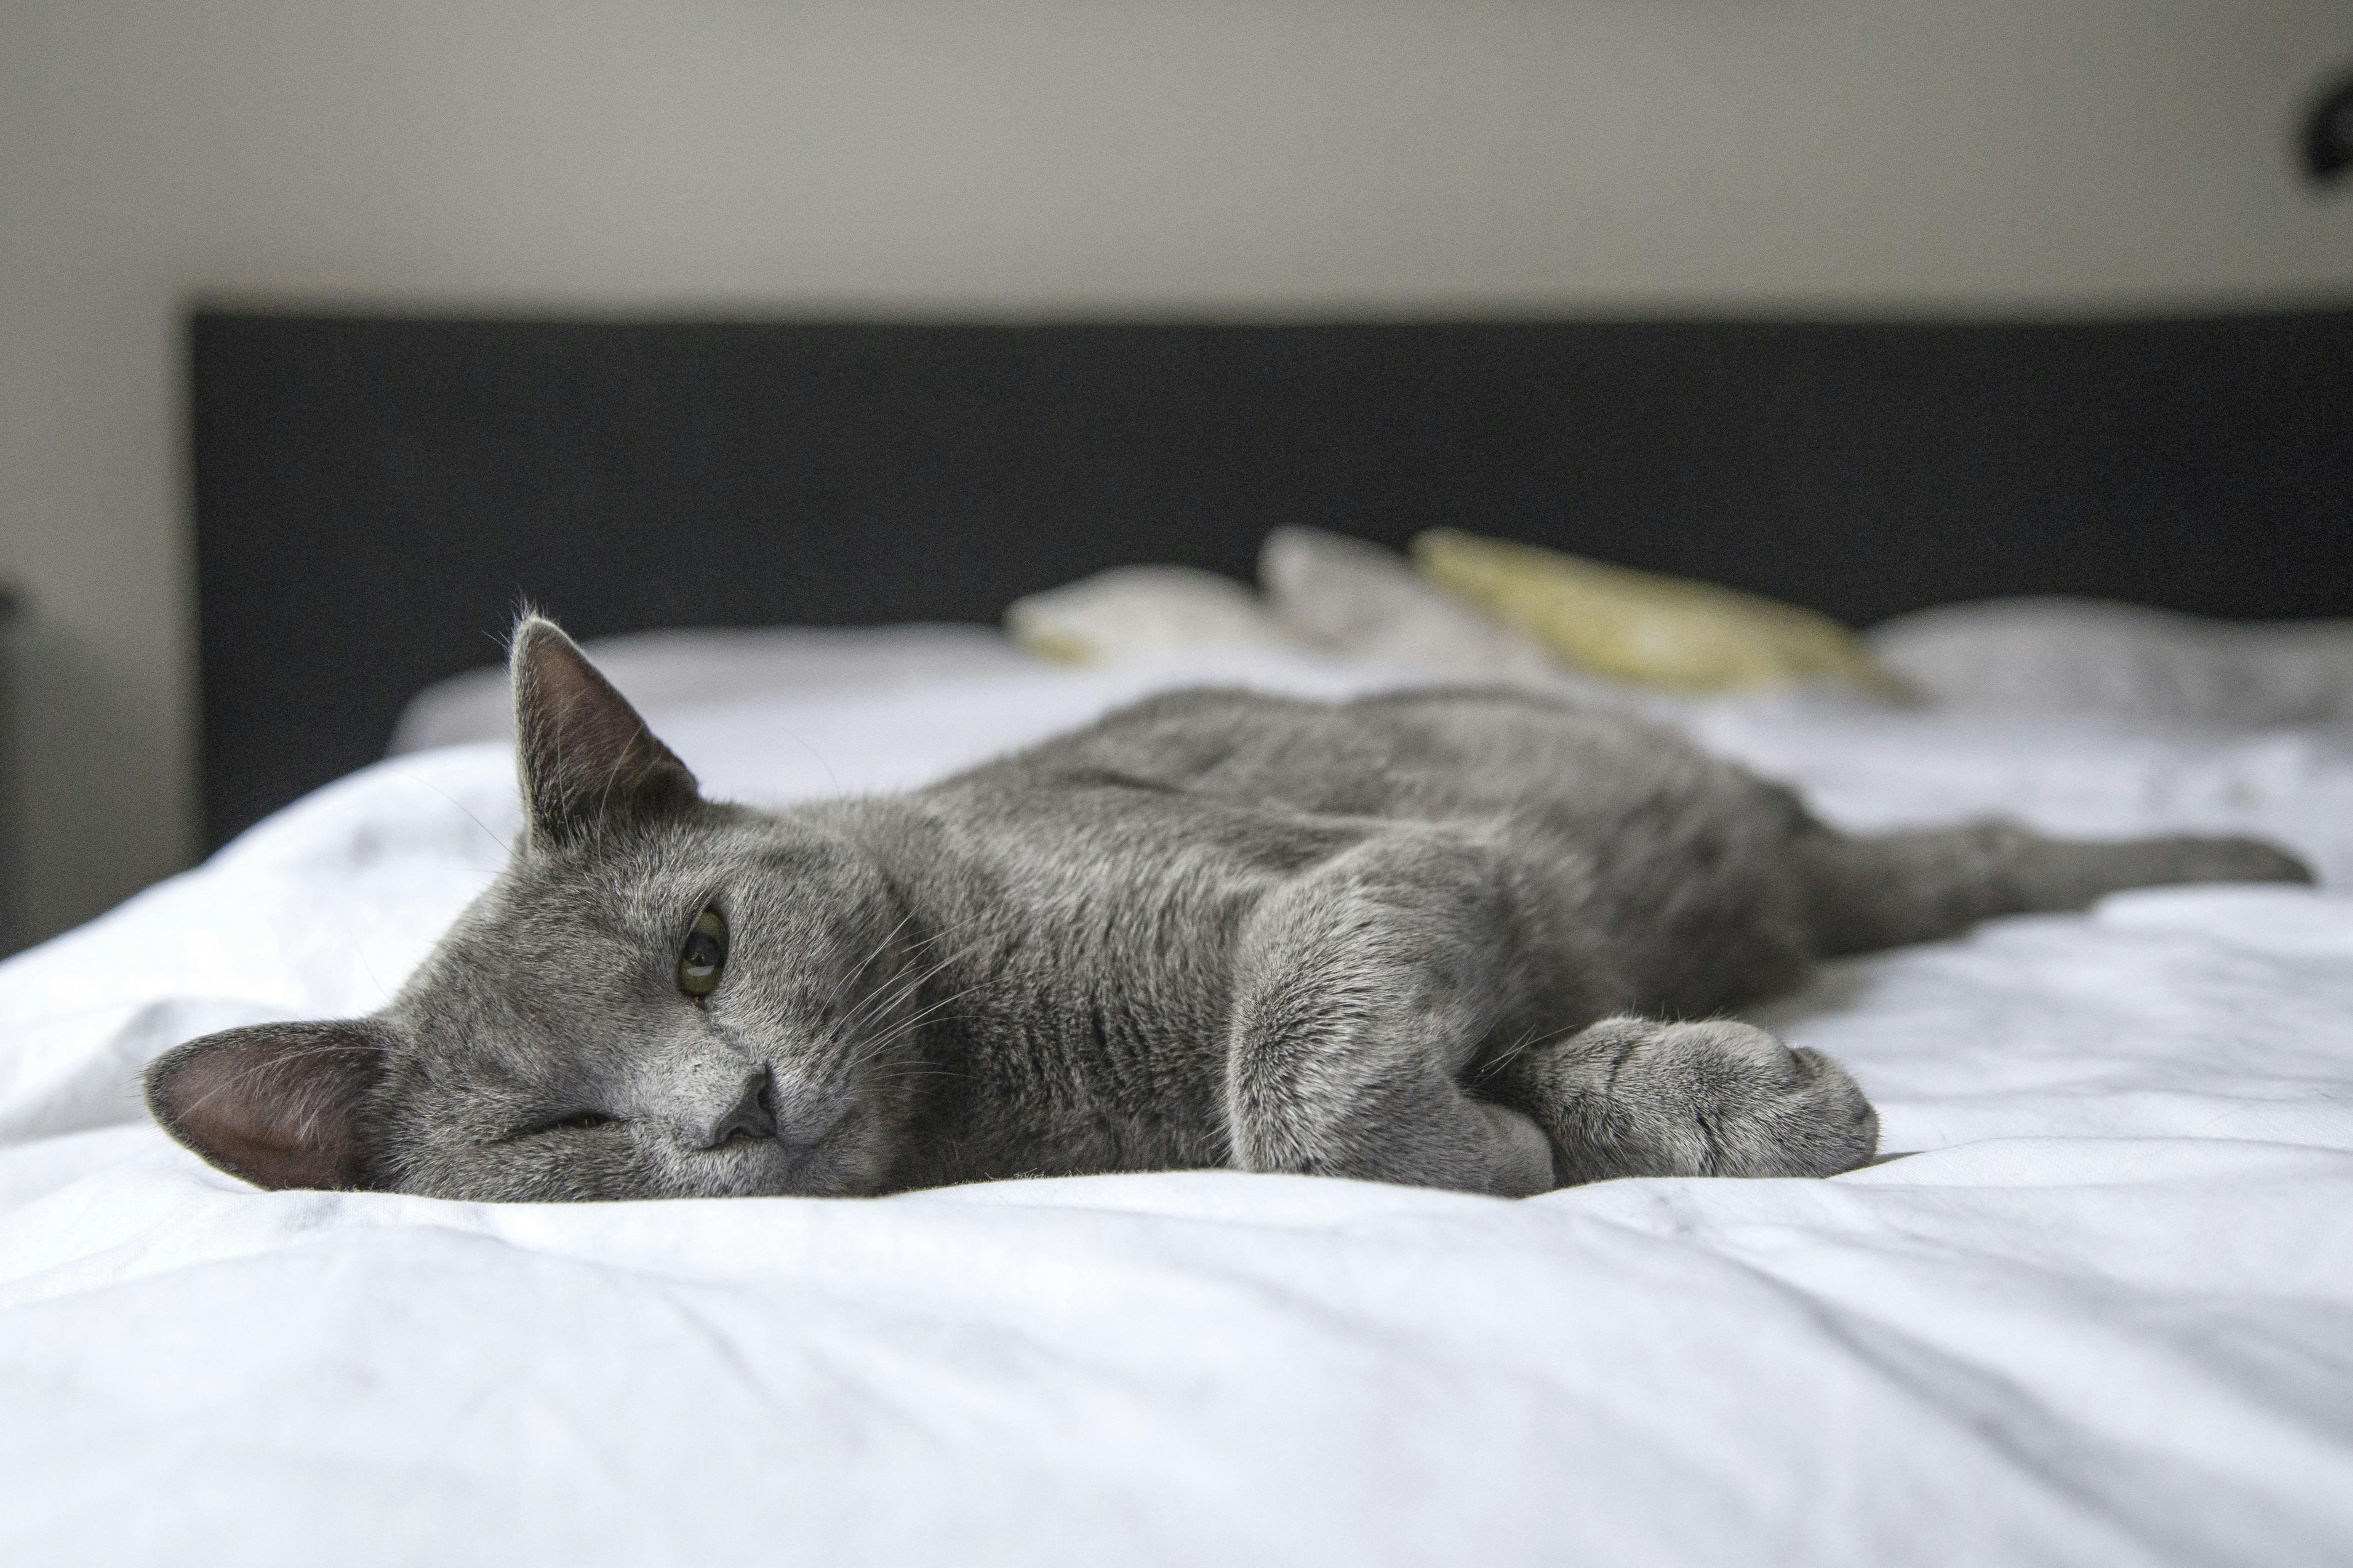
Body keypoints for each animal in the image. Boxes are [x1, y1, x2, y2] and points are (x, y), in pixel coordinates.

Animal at [142, 620, 2315, 1194]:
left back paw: (2265, 865)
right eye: (557, 1131)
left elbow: (1295, 1075)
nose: (733, 1107)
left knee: (1993, 848)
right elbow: (1387, 1094)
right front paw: (1644, 1111)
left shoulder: (1350, 870)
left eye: (700, 951)